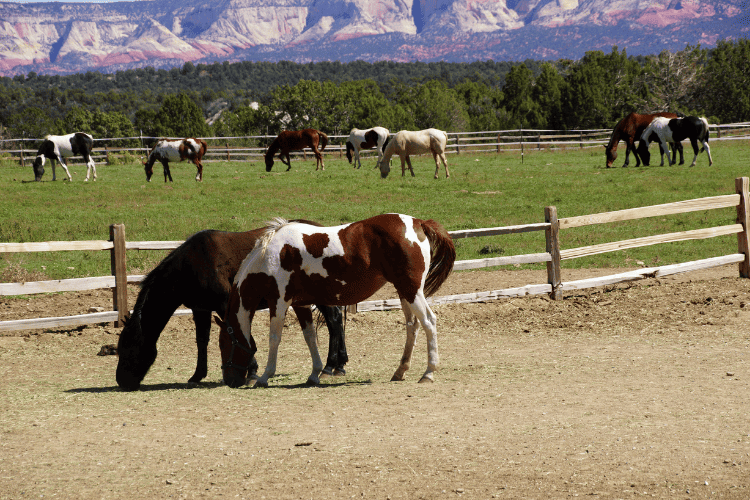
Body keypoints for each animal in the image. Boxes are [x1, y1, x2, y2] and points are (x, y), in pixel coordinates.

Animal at [116, 225, 352, 392]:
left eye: (130, 348)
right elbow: (202, 340)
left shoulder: (225, 304)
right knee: (335, 321)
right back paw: (338, 364)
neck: (191, 265)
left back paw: (331, 366)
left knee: (333, 320)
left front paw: (251, 372)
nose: (122, 382)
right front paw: (197, 375)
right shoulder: (200, 309)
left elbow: (240, 335)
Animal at [214, 213, 456, 388]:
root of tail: (419, 223)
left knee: (429, 322)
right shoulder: (300, 304)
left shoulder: (280, 302)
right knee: (412, 326)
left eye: (223, 344)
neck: (271, 256)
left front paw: (265, 377)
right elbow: (310, 338)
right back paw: (400, 371)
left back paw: (428, 373)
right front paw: (315, 373)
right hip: (404, 291)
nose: (230, 381)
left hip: (412, 290)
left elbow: (274, 338)